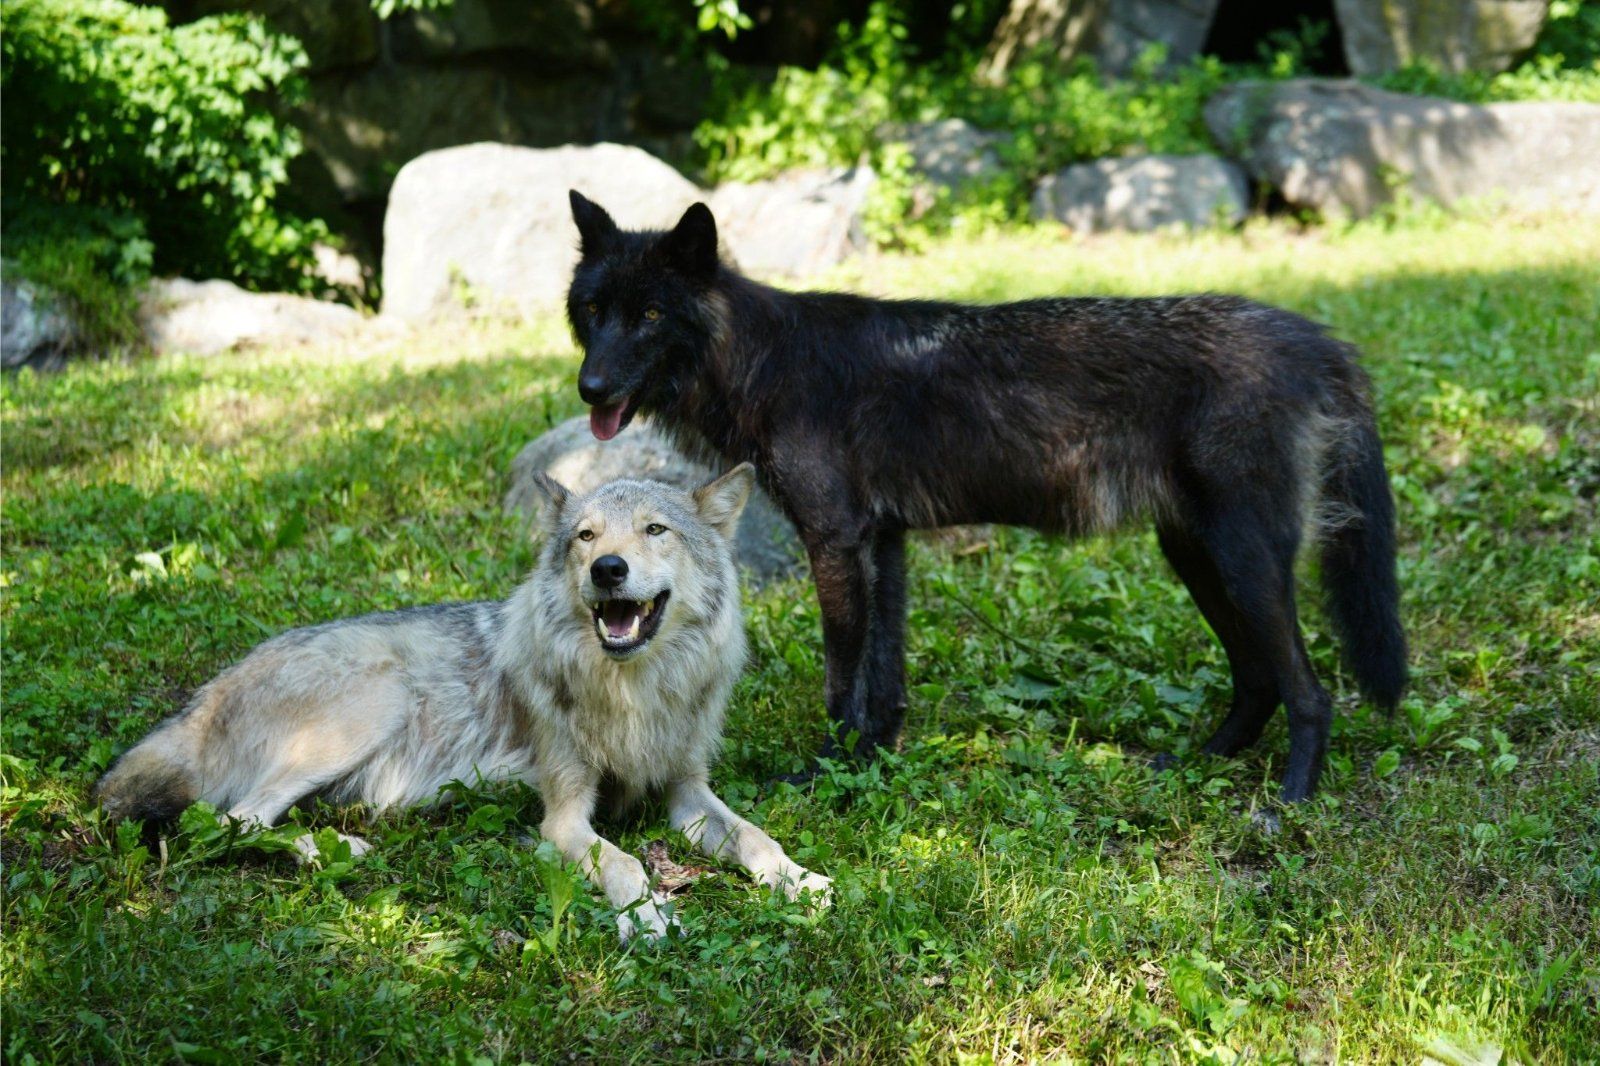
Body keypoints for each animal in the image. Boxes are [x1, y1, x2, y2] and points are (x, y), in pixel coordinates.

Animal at [95, 466, 831, 941]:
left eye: (655, 530)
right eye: (587, 537)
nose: (607, 571)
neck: (633, 692)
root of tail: (209, 690)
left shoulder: (686, 793)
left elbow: (756, 836)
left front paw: (800, 879)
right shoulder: (563, 820)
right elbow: (622, 861)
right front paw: (646, 913)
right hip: (379, 701)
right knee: (230, 821)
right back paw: (330, 850)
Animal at [562, 191, 1407, 802]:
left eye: (650, 314)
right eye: (594, 310)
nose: (590, 388)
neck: (766, 360)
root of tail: (1319, 341)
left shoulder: (835, 543)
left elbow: (841, 682)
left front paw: (824, 773)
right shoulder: (884, 544)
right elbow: (884, 683)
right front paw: (873, 765)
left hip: (1242, 562)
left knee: (1310, 690)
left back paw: (1290, 802)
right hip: (1197, 556)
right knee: (1259, 679)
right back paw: (1204, 763)